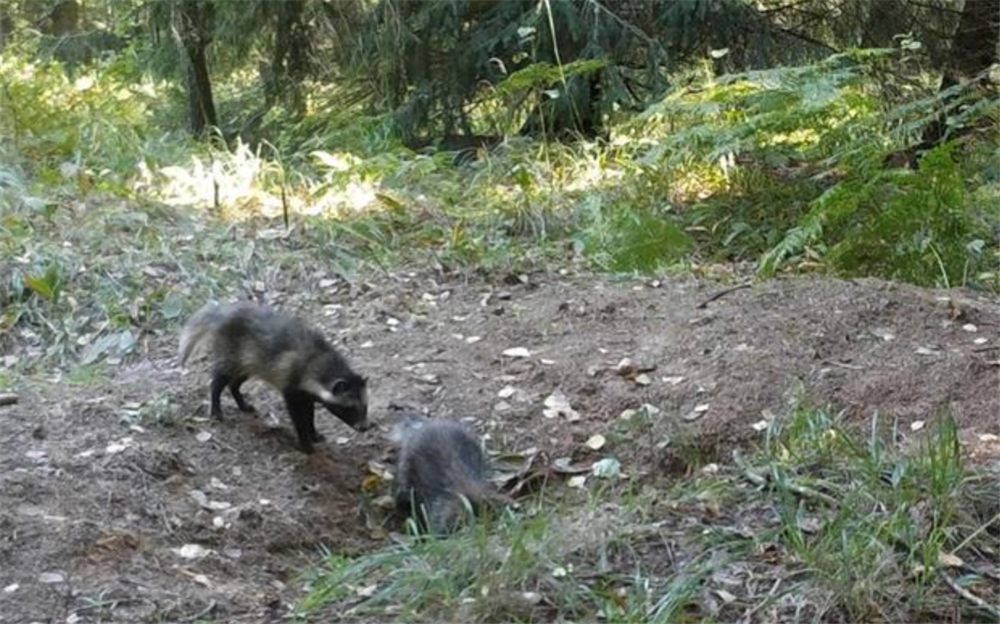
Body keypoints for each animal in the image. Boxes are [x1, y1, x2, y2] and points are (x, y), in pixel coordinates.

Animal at [178, 302, 370, 454]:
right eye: (350, 408)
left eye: (365, 406)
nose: (365, 427)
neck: (320, 358)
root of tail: (225, 313)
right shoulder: (293, 386)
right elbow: (298, 416)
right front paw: (305, 441)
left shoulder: (308, 392)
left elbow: (310, 414)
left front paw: (313, 432)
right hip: (230, 350)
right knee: (219, 380)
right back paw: (216, 407)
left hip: (249, 361)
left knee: (235, 382)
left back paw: (241, 402)